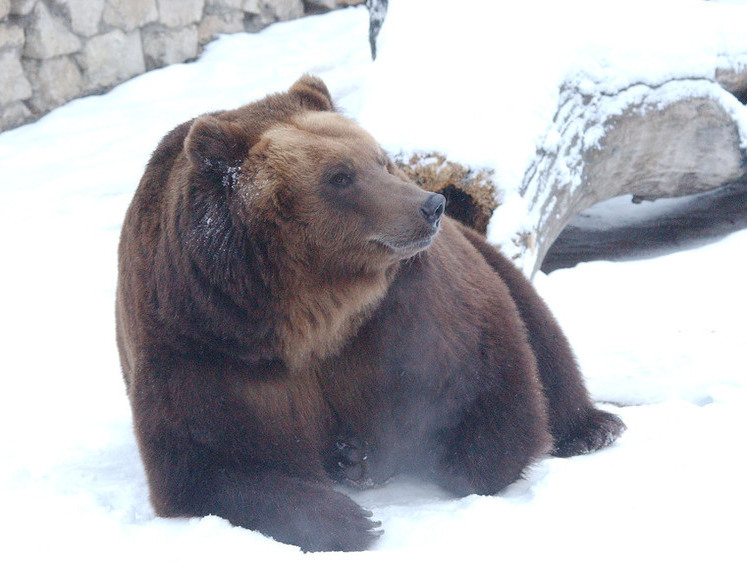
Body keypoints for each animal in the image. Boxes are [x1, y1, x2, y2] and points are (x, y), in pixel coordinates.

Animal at [115, 75, 624, 552]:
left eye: (379, 159)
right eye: (339, 176)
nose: (432, 204)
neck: (312, 310)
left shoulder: (406, 307)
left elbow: (483, 388)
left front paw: (380, 457)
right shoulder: (205, 340)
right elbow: (205, 463)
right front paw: (347, 517)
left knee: (541, 331)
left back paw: (591, 427)